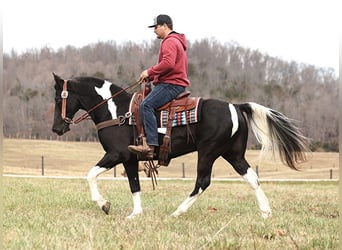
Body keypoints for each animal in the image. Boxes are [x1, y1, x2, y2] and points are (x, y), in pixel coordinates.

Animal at [51, 72, 310, 219]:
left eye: (57, 98)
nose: (57, 128)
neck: (116, 110)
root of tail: (235, 106)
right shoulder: (131, 158)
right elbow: (134, 185)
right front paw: (135, 214)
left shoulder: (118, 154)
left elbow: (91, 174)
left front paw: (104, 204)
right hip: (233, 154)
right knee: (252, 178)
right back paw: (266, 213)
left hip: (208, 152)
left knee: (202, 182)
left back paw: (178, 211)